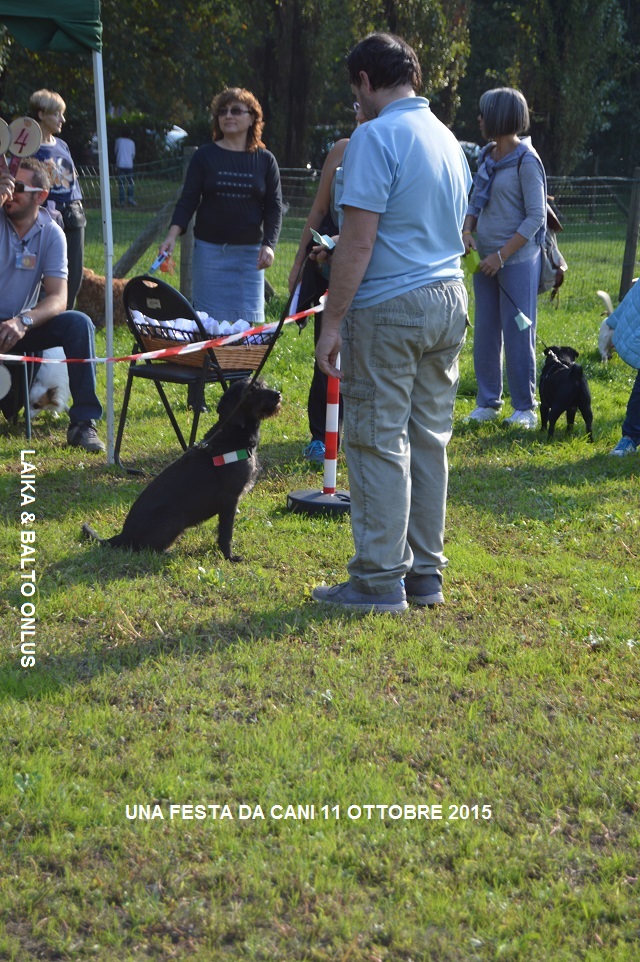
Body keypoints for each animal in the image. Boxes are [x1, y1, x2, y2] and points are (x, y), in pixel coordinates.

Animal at [81, 376, 282, 556]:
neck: (233, 435)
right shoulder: (229, 498)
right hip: (173, 515)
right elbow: (226, 533)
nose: (278, 394)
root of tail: (123, 535)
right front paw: (229, 556)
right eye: (251, 390)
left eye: (263, 384)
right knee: (147, 550)